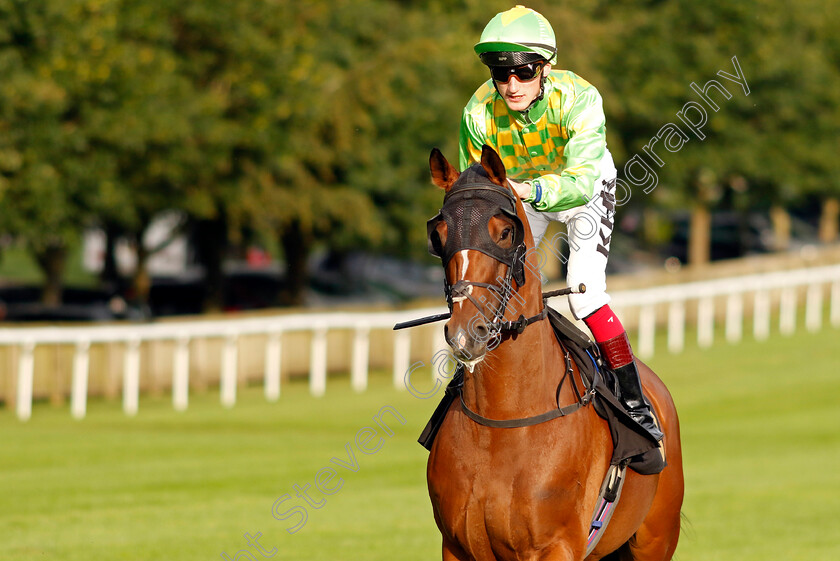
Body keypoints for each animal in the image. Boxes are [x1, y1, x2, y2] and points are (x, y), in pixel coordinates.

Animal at [424, 145, 684, 560]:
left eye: (505, 231)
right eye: (439, 233)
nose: (466, 332)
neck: (504, 421)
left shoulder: (556, 546)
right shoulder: (457, 547)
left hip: (656, 538)